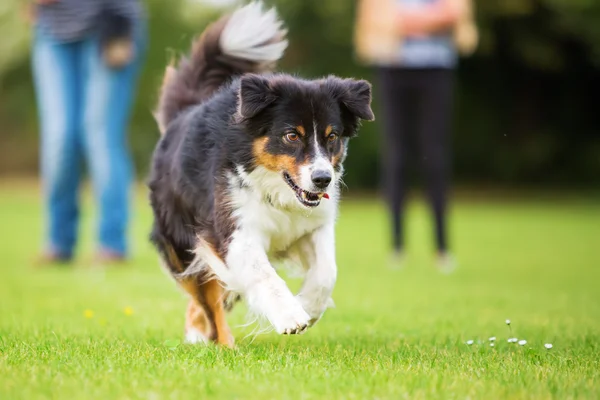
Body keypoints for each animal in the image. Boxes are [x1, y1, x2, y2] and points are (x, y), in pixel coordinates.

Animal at [149, 0, 376, 346]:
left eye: (332, 137)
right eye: (291, 136)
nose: (323, 179)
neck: (278, 191)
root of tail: (182, 115)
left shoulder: (314, 225)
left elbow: (327, 271)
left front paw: (307, 306)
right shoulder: (234, 230)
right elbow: (263, 274)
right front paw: (290, 315)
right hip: (183, 237)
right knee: (208, 297)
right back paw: (223, 344)